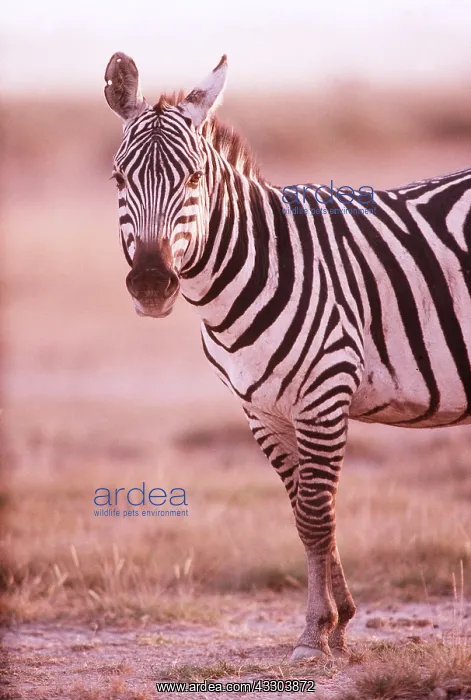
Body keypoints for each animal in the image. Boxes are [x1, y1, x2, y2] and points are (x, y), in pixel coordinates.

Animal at [104, 52, 471, 660]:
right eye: (118, 179)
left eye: (194, 178)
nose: (152, 284)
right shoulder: (263, 411)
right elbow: (304, 515)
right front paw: (337, 621)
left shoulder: (324, 393)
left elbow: (318, 516)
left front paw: (315, 635)